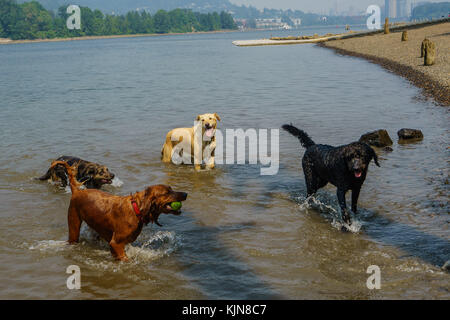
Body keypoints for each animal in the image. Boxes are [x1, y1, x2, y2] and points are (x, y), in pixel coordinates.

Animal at [50, 161, 187, 262]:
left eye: (171, 189)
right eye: (167, 192)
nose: (186, 194)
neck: (136, 208)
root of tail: (77, 191)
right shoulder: (116, 243)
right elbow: (125, 259)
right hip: (74, 227)